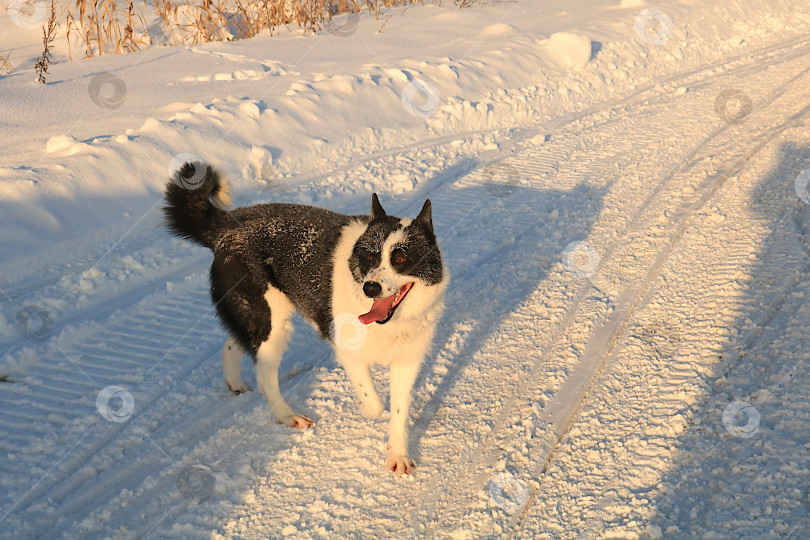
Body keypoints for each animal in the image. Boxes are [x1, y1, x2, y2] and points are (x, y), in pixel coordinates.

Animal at [161, 160, 446, 472]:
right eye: (370, 257)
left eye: (401, 260)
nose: (370, 288)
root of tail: (226, 225)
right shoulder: (348, 353)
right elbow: (374, 405)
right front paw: (363, 408)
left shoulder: (407, 362)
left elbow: (398, 411)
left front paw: (398, 455)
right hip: (272, 324)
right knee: (264, 375)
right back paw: (288, 416)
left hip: (260, 317)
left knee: (233, 344)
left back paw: (235, 384)